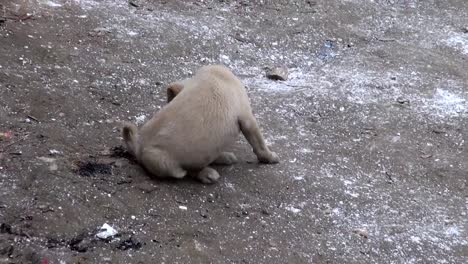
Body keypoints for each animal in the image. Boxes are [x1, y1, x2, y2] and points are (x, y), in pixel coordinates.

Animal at [122, 64, 280, 184]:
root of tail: (138, 147)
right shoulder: (247, 119)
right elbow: (259, 143)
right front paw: (270, 157)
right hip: (167, 164)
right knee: (188, 171)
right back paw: (208, 173)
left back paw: (223, 157)